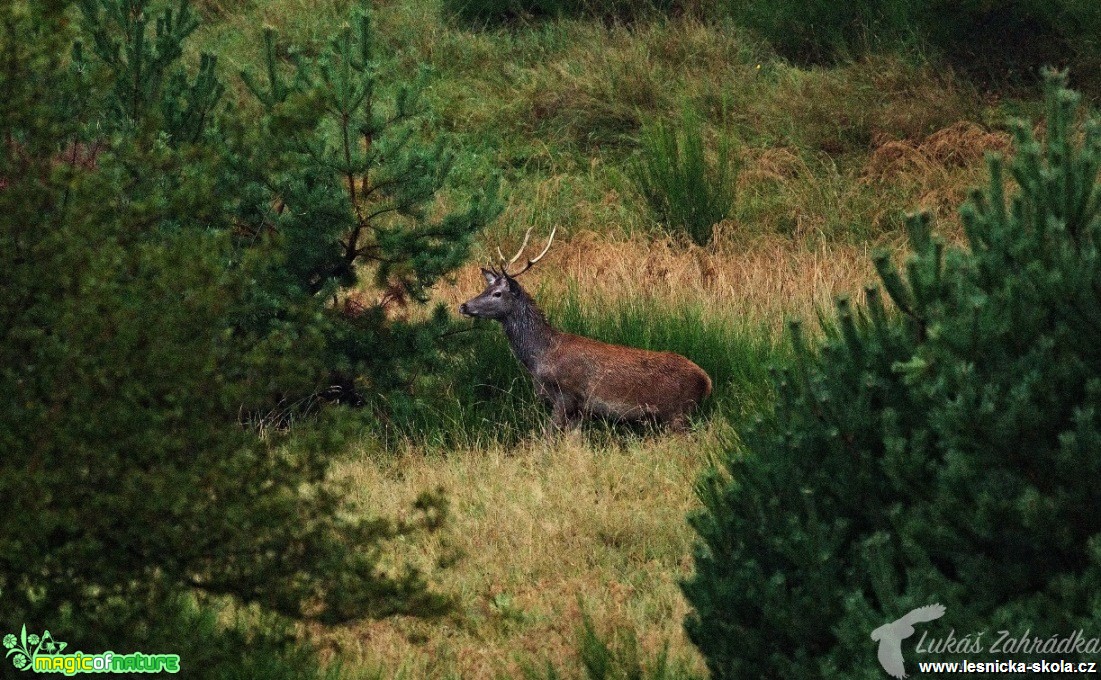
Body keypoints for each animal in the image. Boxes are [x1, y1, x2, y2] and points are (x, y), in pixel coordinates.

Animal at [455, 227, 713, 433]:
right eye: (485, 289)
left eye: (497, 294)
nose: (464, 305)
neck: (541, 358)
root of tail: (707, 381)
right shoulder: (579, 410)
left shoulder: (566, 396)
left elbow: (547, 437)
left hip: (677, 412)